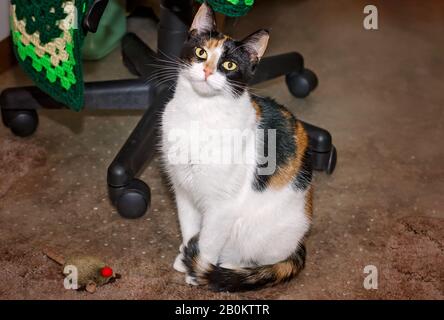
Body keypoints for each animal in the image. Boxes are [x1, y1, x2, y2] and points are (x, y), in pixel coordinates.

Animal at [160, 2, 312, 292]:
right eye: (201, 52)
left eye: (229, 64)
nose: (207, 71)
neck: (199, 113)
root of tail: (300, 244)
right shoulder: (183, 189)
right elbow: (189, 226)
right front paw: (186, 256)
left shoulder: (222, 205)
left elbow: (208, 239)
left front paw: (199, 270)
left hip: (260, 231)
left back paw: (228, 268)